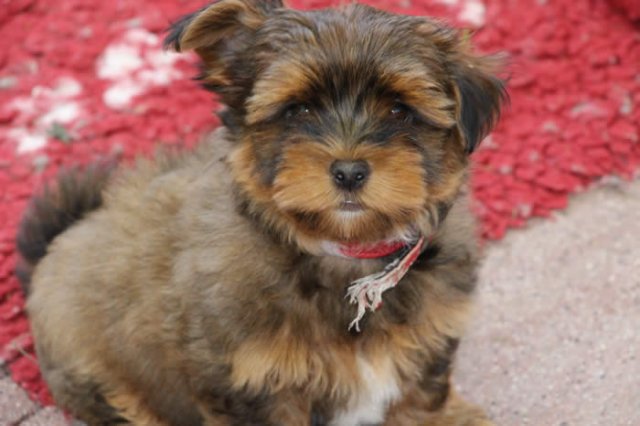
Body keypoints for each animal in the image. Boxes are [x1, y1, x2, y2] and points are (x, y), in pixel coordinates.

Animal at [17, 1, 506, 424]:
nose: (349, 171)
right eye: (298, 109)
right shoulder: (253, 382)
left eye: (400, 110)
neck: (343, 253)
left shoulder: (428, 344)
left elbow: (421, 401)